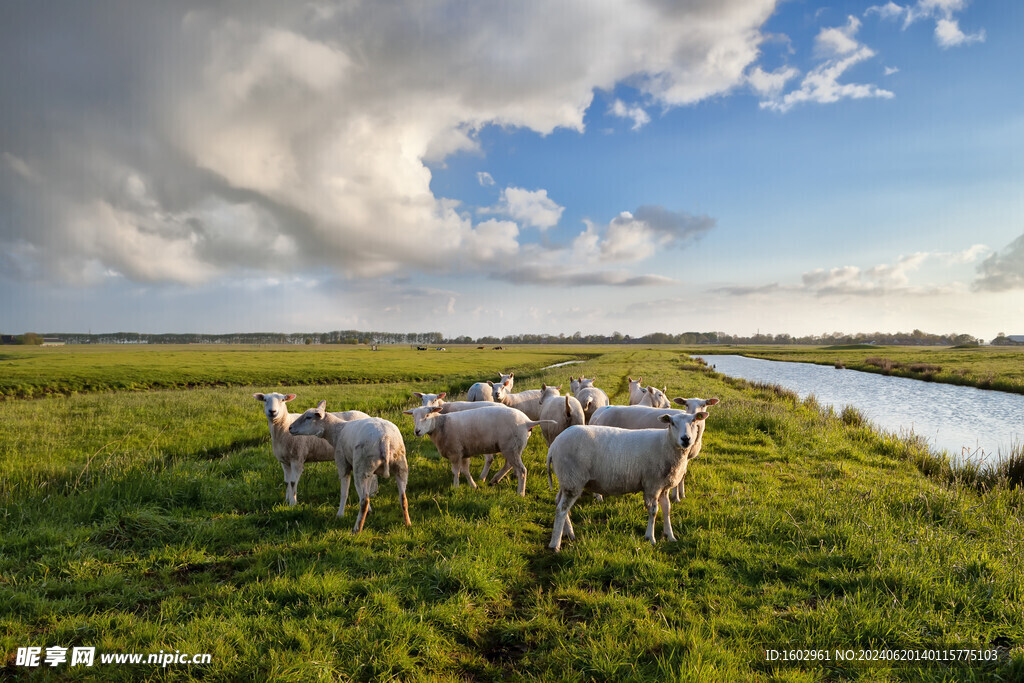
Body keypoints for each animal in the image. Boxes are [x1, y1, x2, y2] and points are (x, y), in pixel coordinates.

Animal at [286, 401, 409, 532]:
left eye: (308, 417)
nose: (290, 428)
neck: (336, 431)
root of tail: (385, 439)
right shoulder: (370, 472)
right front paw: (370, 511)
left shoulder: (342, 463)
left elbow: (344, 492)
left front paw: (340, 514)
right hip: (399, 466)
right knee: (403, 497)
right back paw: (407, 523)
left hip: (361, 466)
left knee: (364, 501)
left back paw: (357, 529)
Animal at [403, 405, 557, 497]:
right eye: (413, 417)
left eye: (427, 416)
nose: (417, 431)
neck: (440, 426)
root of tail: (527, 422)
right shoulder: (464, 453)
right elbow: (465, 471)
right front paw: (473, 486)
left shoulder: (455, 452)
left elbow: (456, 472)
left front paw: (455, 487)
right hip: (512, 447)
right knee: (509, 465)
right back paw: (494, 480)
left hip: (511, 447)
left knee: (522, 470)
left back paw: (520, 493)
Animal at [548, 411, 708, 548]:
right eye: (672, 423)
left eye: (694, 421)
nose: (686, 439)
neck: (666, 444)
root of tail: (554, 445)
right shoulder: (652, 484)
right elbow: (653, 511)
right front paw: (650, 538)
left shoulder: (663, 486)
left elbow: (666, 509)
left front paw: (670, 536)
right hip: (572, 479)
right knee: (561, 509)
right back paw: (555, 544)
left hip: (566, 480)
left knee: (559, 502)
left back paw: (568, 533)